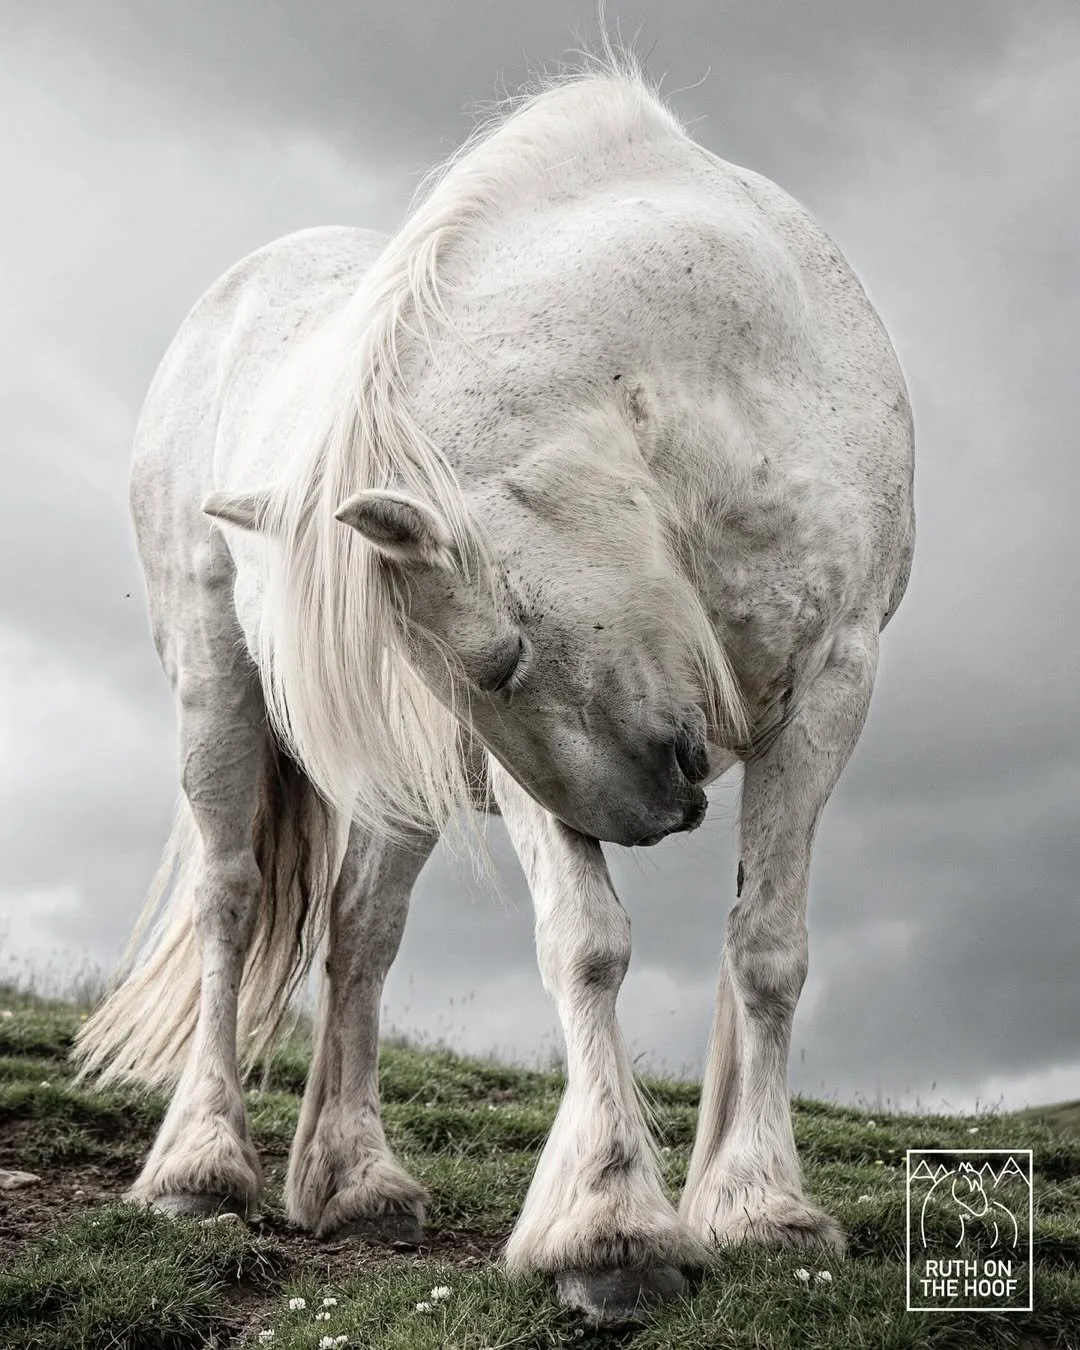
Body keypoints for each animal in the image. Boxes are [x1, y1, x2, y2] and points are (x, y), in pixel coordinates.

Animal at [72, 54, 915, 1325]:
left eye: (501, 656)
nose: (648, 815)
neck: (739, 370)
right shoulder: (527, 771)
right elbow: (588, 947)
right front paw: (611, 1232)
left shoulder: (831, 686)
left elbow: (766, 948)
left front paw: (761, 1211)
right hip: (215, 689)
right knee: (229, 904)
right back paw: (201, 1170)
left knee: (360, 936)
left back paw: (358, 1183)